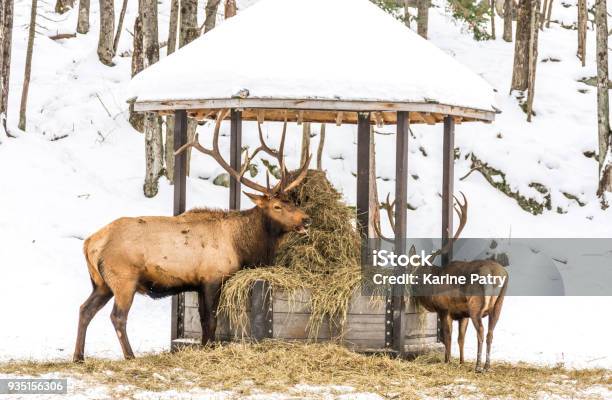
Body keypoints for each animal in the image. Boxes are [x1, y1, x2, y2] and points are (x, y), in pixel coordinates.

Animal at [73, 110, 310, 362]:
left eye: (292, 201)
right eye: (277, 206)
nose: (306, 219)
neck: (242, 246)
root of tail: (89, 244)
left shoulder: (197, 283)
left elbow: (205, 320)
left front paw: (206, 347)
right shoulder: (213, 277)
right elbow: (211, 320)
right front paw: (209, 349)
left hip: (100, 283)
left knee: (84, 309)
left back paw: (78, 356)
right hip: (124, 279)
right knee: (117, 316)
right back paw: (130, 356)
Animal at [378, 193, 506, 372]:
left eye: (412, 268)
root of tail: (496, 274)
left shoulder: (444, 308)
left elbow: (447, 336)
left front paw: (447, 360)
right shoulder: (462, 314)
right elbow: (461, 338)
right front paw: (461, 361)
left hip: (476, 304)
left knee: (480, 331)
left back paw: (478, 366)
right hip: (499, 304)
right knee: (490, 333)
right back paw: (487, 366)